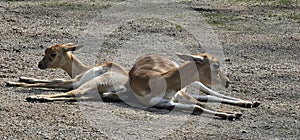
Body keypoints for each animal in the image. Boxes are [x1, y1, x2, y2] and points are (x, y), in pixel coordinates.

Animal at [129, 53, 260, 120]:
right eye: (216, 65)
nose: (227, 81)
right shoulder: (165, 103)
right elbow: (198, 106)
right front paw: (231, 114)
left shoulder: (180, 94)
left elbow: (200, 103)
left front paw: (233, 113)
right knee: (209, 96)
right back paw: (248, 104)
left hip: (195, 83)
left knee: (214, 94)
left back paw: (250, 102)